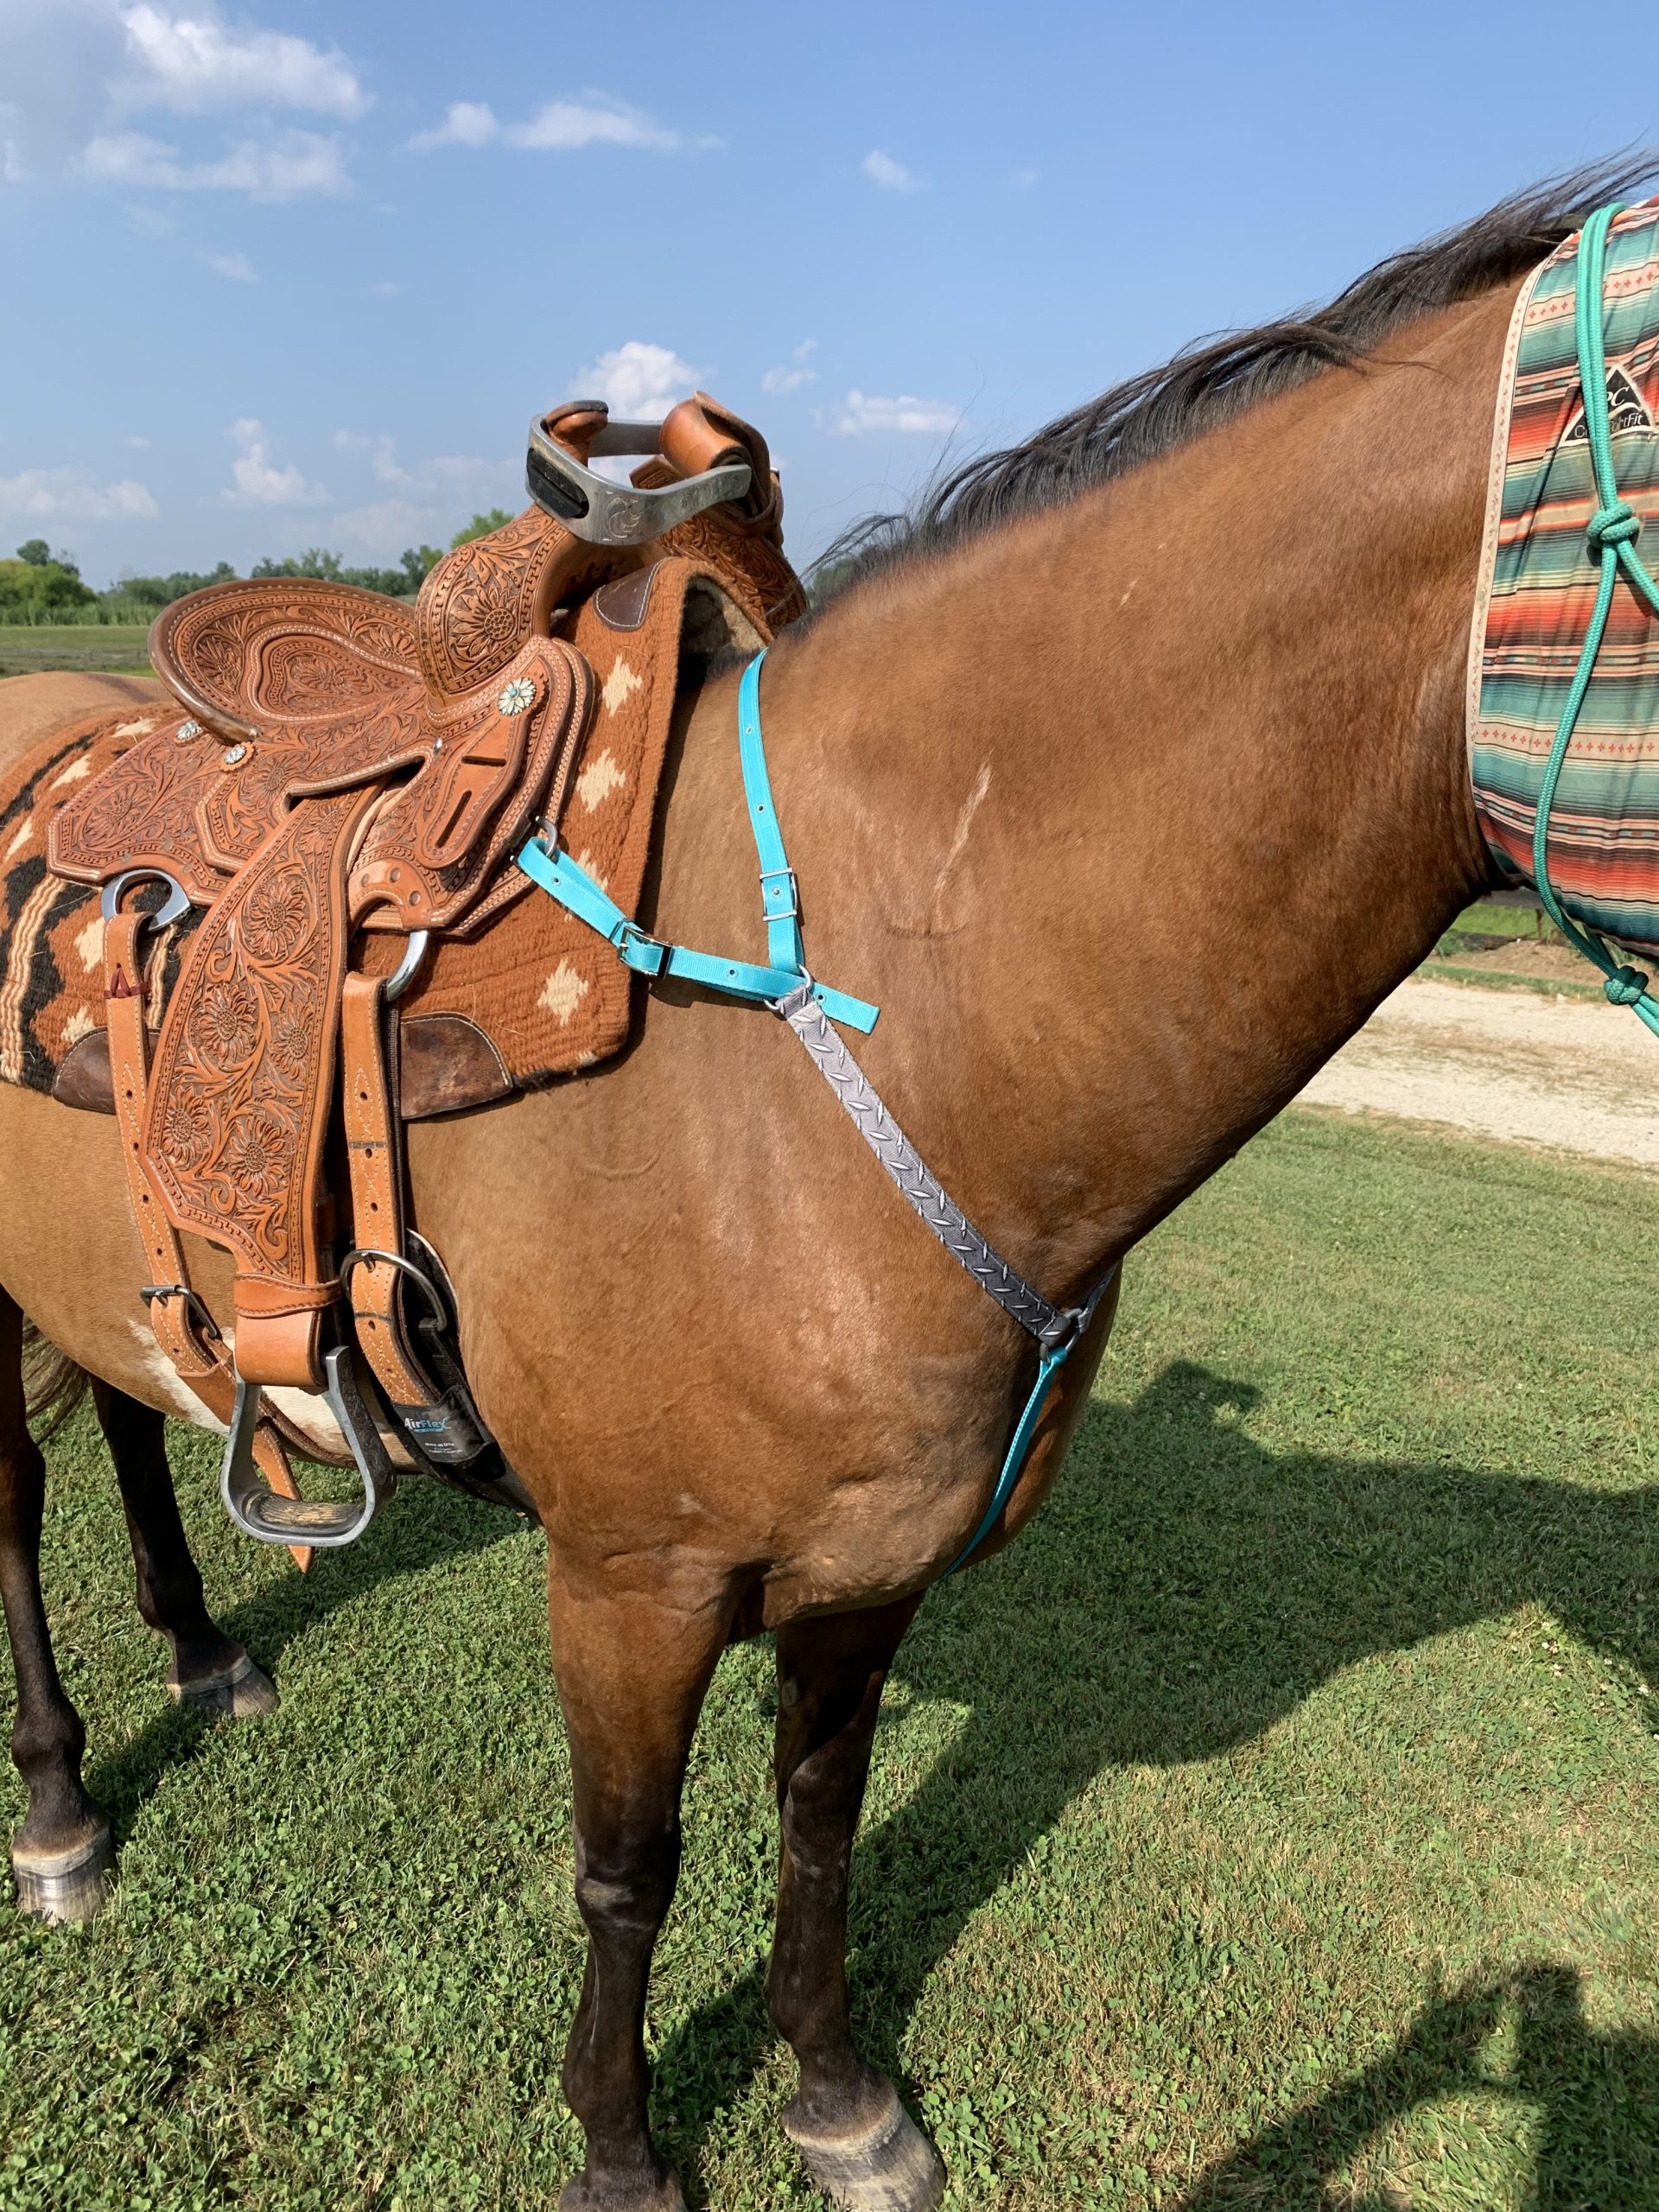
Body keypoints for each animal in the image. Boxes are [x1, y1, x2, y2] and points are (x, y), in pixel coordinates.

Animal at [0, 165, 1635, 2211]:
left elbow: (819, 1823)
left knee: (136, 1403)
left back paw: (207, 1650)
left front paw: (838, 2093)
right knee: (12, 1510)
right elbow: (630, 1871)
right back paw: (61, 1805)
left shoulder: (869, 1566)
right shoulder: (629, 1580)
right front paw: (622, 2148)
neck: (859, 1018)